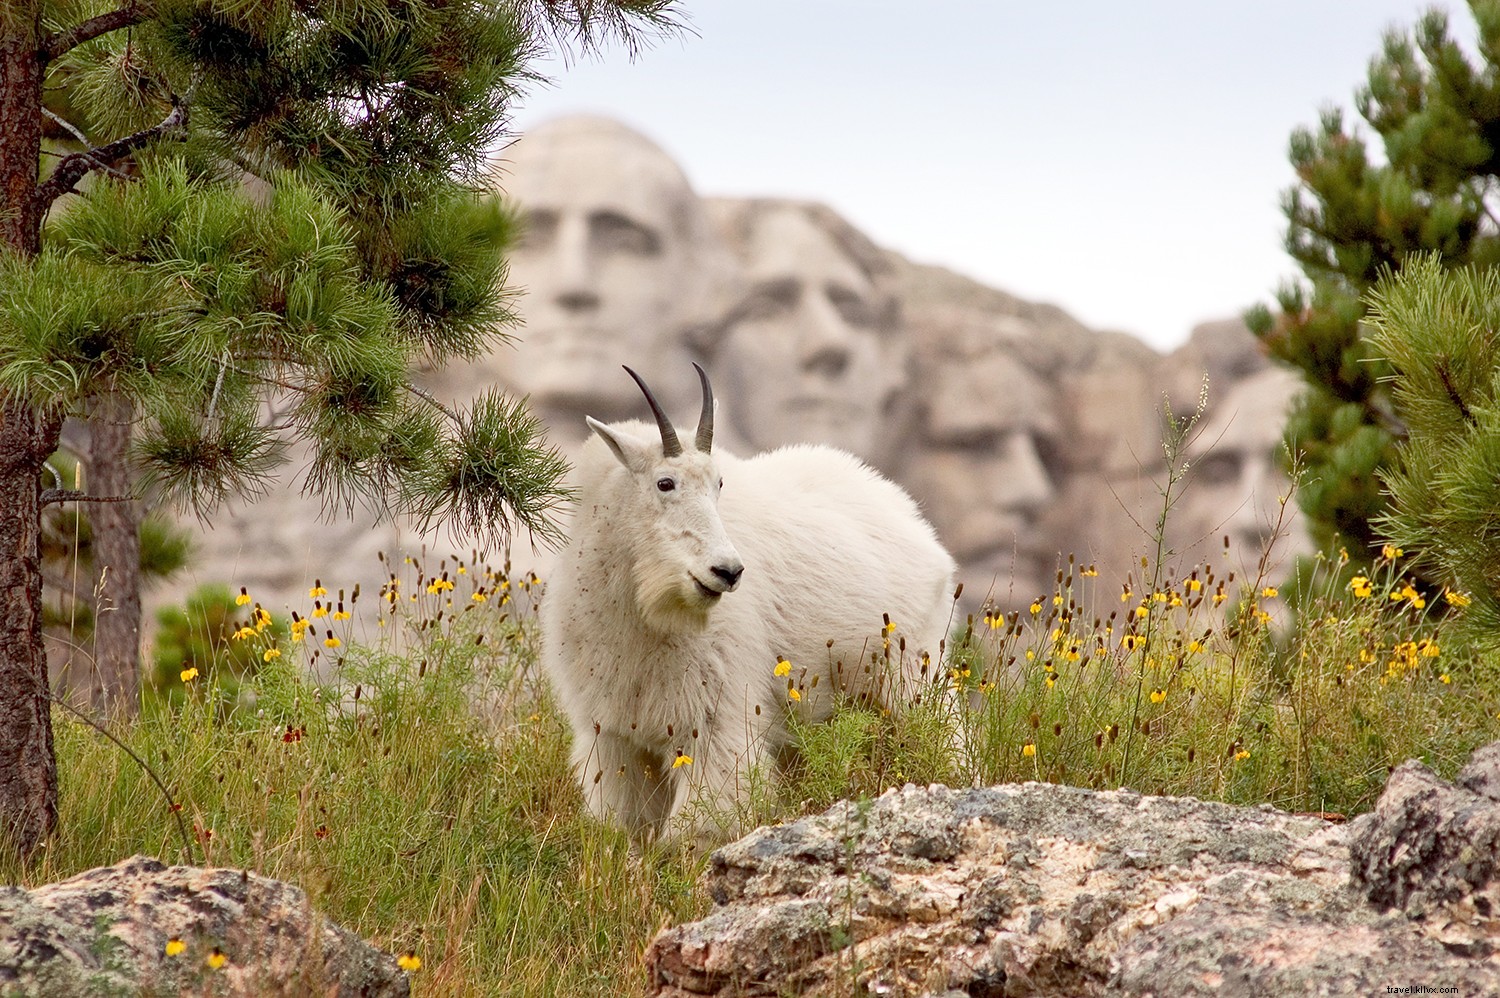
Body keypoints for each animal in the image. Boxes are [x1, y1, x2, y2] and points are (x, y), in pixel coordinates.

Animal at [546, 366, 954, 840]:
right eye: (665, 482)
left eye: (719, 484)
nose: (728, 571)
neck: (641, 615)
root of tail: (915, 520)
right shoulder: (614, 734)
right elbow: (629, 821)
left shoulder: (716, 717)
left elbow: (701, 821)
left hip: (912, 670)